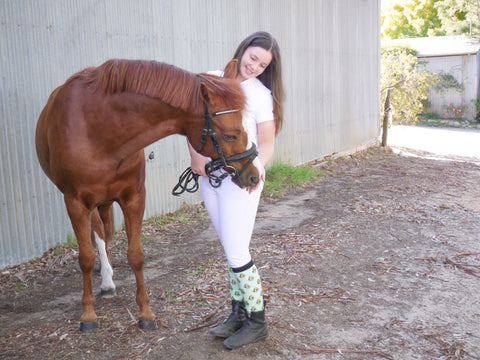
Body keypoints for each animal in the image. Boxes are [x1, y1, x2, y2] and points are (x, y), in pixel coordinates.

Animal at [35, 58, 260, 332]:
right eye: (230, 134)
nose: (254, 175)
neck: (99, 131)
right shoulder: (75, 203)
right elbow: (86, 259)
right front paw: (88, 314)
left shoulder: (134, 198)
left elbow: (136, 256)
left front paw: (145, 312)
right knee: (97, 233)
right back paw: (105, 282)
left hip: (104, 201)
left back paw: (107, 279)